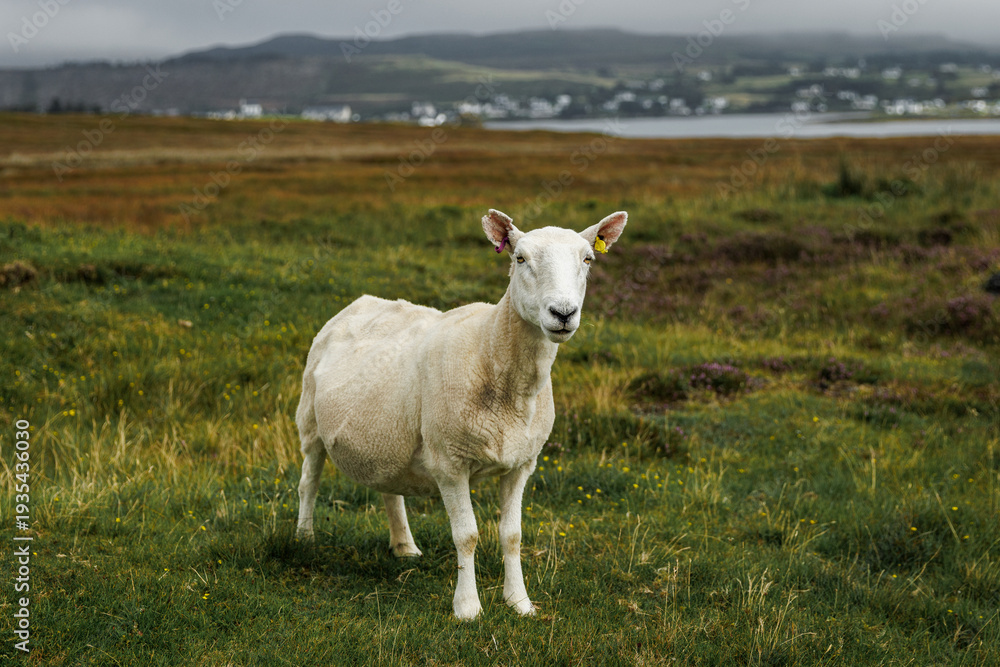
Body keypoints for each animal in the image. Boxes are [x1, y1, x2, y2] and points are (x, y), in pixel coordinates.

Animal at [295, 208, 627, 619]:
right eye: (520, 258)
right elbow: (466, 535)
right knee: (308, 481)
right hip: (310, 421)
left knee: (389, 488)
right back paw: (304, 538)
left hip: (388, 433)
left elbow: (512, 535)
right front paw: (468, 608)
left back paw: (404, 546)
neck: (491, 353)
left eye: (588, 259)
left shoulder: (522, 463)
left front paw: (520, 602)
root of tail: (362, 301)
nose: (563, 313)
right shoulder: (448, 462)